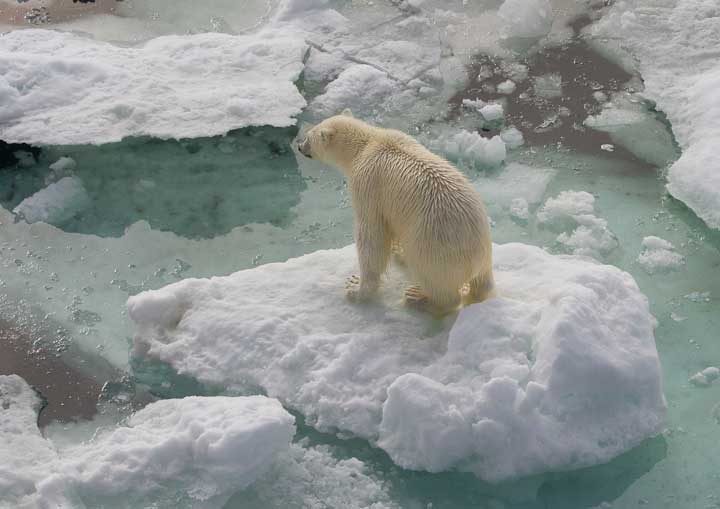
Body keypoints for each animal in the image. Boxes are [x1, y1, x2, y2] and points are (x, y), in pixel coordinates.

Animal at [297, 110, 494, 316]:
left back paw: (419, 298)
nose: (299, 146)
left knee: (440, 286)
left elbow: (371, 235)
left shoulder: (366, 183)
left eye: (308, 136)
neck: (367, 143)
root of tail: (477, 256)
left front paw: (356, 287)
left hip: (434, 250)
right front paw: (396, 249)